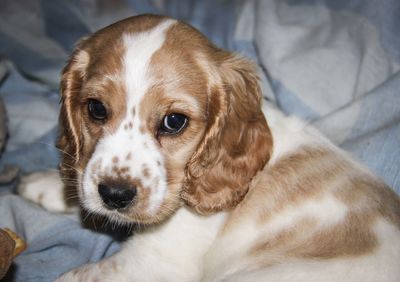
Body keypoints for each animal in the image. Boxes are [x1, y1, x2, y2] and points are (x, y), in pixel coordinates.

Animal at [19, 15, 400, 282]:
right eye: (96, 109)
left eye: (174, 121)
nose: (114, 195)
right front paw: (46, 185)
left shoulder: (151, 263)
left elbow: (74, 276)